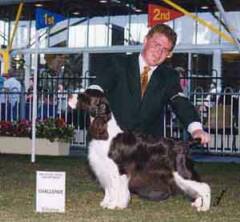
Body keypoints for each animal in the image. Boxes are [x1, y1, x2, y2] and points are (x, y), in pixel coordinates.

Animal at [68, 87, 211, 211]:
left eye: (83, 95)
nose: (69, 96)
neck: (106, 133)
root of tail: (182, 144)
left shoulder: (117, 170)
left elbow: (115, 188)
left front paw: (113, 205)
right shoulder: (103, 168)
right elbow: (108, 188)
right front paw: (106, 203)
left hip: (181, 171)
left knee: (205, 187)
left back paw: (204, 207)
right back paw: (197, 204)